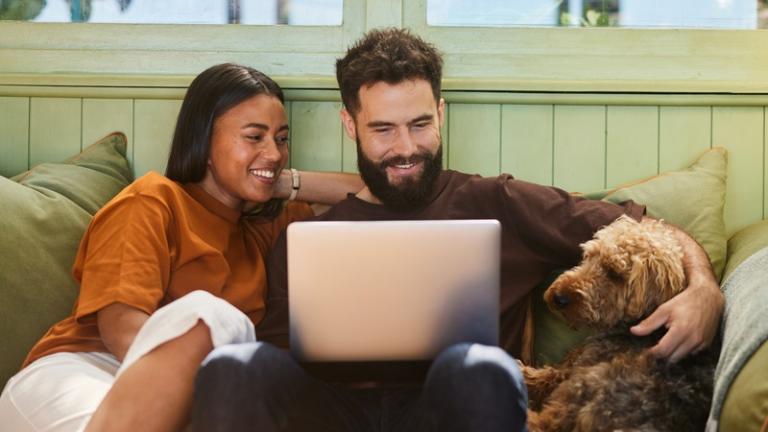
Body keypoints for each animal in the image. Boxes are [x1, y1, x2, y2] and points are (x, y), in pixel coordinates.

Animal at [524, 216, 716, 432]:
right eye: (589, 256)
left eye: (614, 273)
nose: (559, 298)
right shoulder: (575, 360)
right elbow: (553, 371)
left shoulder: (578, 369)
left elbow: (549, 377)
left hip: (585, 386)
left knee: (544, 423)